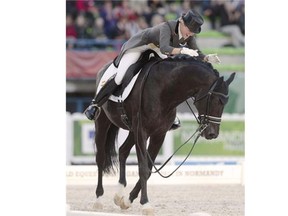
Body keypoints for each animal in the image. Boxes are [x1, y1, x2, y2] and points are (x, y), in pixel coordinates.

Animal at [93, 52, 235, 214]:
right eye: (215, 100)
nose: (212, 134)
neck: (164, 89)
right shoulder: (142, 132)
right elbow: (143, 168)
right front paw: (146, 204)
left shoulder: (158, 134)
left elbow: (148, 169)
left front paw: (128, 200)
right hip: (103, 122)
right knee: (100, 158)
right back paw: (98, 200)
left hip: (132, 130)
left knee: (123, 151)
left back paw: (119, 195)